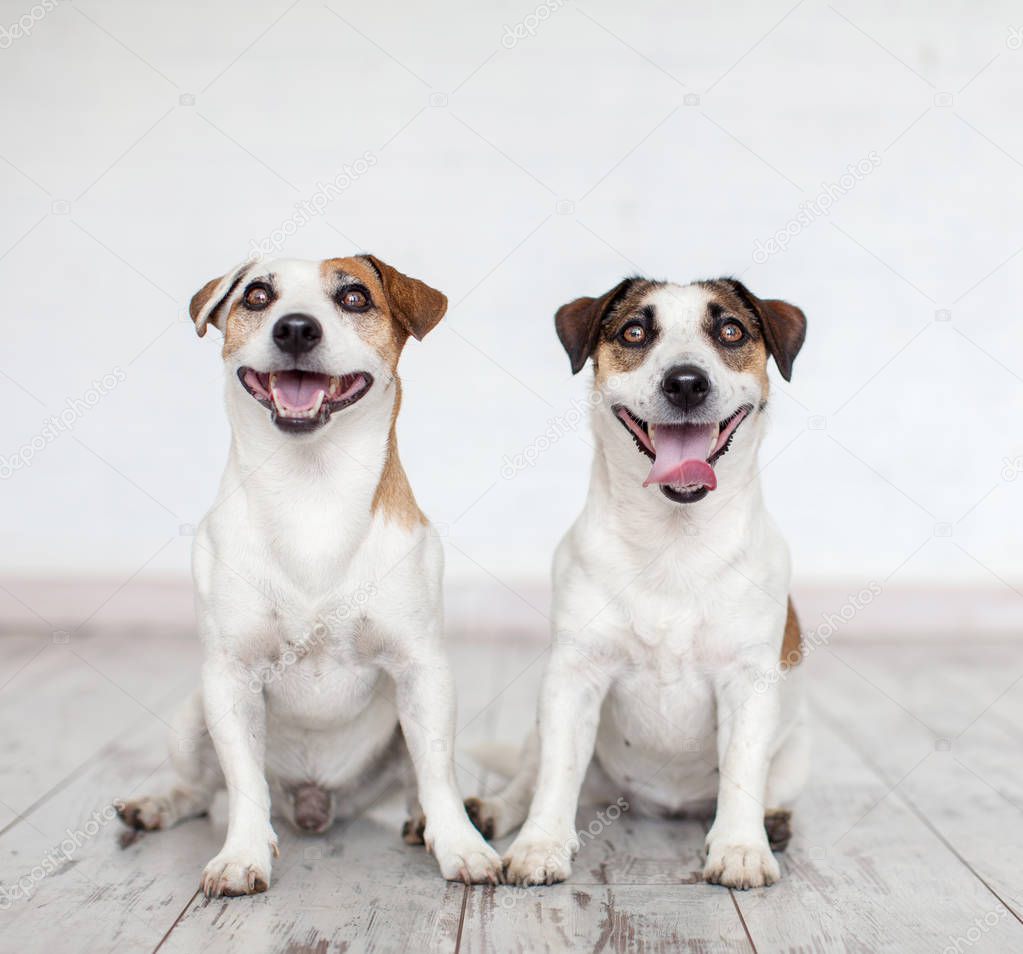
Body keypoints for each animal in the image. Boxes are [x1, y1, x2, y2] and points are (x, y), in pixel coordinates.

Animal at [117, 253, 501, 891]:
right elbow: (244, 782)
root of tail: (318, 802)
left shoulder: (422, 670)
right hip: (192, 716)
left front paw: (460, 845)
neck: (311, 489)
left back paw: (423, 820)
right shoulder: (230, 677)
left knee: (418, 781)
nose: (295, 328)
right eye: (257, 295)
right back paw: (155, 806)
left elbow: (438, 775)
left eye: (354, 297)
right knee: (199, 790)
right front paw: (243, 854)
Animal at [468, 280, 806, 891]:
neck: (673, 541)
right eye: (633, 332)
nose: (686, 382)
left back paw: (773, 821)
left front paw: (742, 848)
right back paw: (492, 811)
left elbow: (744, 769)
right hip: (541, 726)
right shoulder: (572, 679)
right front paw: (540, 845)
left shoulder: (748, 682)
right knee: (529, 775)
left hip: (795, 755)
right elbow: (555, 775)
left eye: (731, 331)